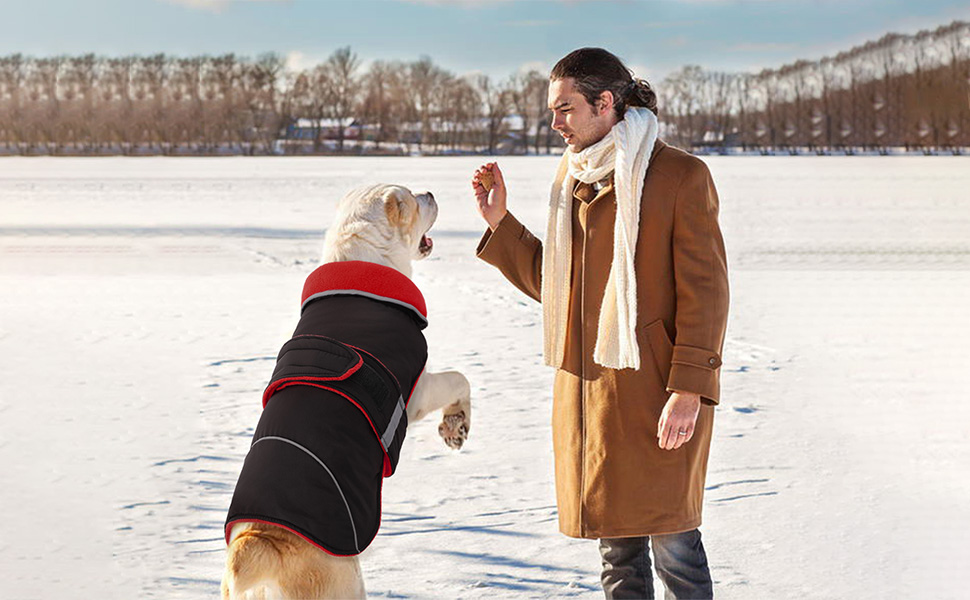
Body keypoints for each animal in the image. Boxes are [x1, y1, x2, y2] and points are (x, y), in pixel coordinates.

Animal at [223, 185, 472, 596]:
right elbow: (460, 379)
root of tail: (261, 541)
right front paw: (456, 427)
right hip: (346, 581)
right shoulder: (417, 390)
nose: (430, 192)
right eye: (412, 198)